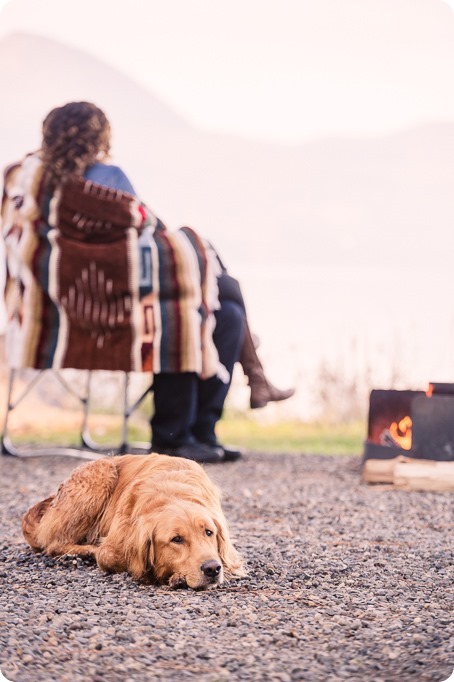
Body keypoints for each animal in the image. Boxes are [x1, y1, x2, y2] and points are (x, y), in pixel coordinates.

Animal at [21, 454, 245, 588]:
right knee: (54, 544)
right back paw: (84, 552)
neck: (172, 493)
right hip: (102, 474)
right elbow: (112, 557)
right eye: (176, 539)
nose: (212, 568)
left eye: (209, 532)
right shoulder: (112, 547)